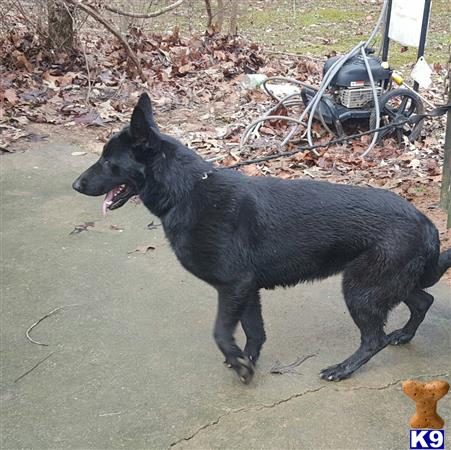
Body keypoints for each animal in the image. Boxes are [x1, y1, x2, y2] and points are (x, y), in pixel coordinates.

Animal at [74, 93, 451, 384]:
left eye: (108, 161)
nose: (76, 185)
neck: (188, 190)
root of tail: (427, 225)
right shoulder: (246, 290)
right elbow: (254, 331)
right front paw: (246, 360)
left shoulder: (233, 286)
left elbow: (220, 332)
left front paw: (239, 363)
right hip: (384, 284)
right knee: (422, 301)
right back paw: (404, 334)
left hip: (360, 290)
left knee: (375, 339)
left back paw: (344, 368)